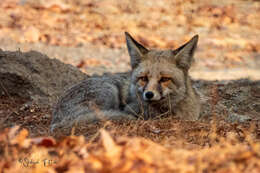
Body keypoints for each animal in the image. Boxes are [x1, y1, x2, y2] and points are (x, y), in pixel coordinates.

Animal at [50, 31, 201, 133]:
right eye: (143, 78)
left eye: (164, 79)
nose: (149, 94)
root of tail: (57, 120)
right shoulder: (130, 108)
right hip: (109, 91)